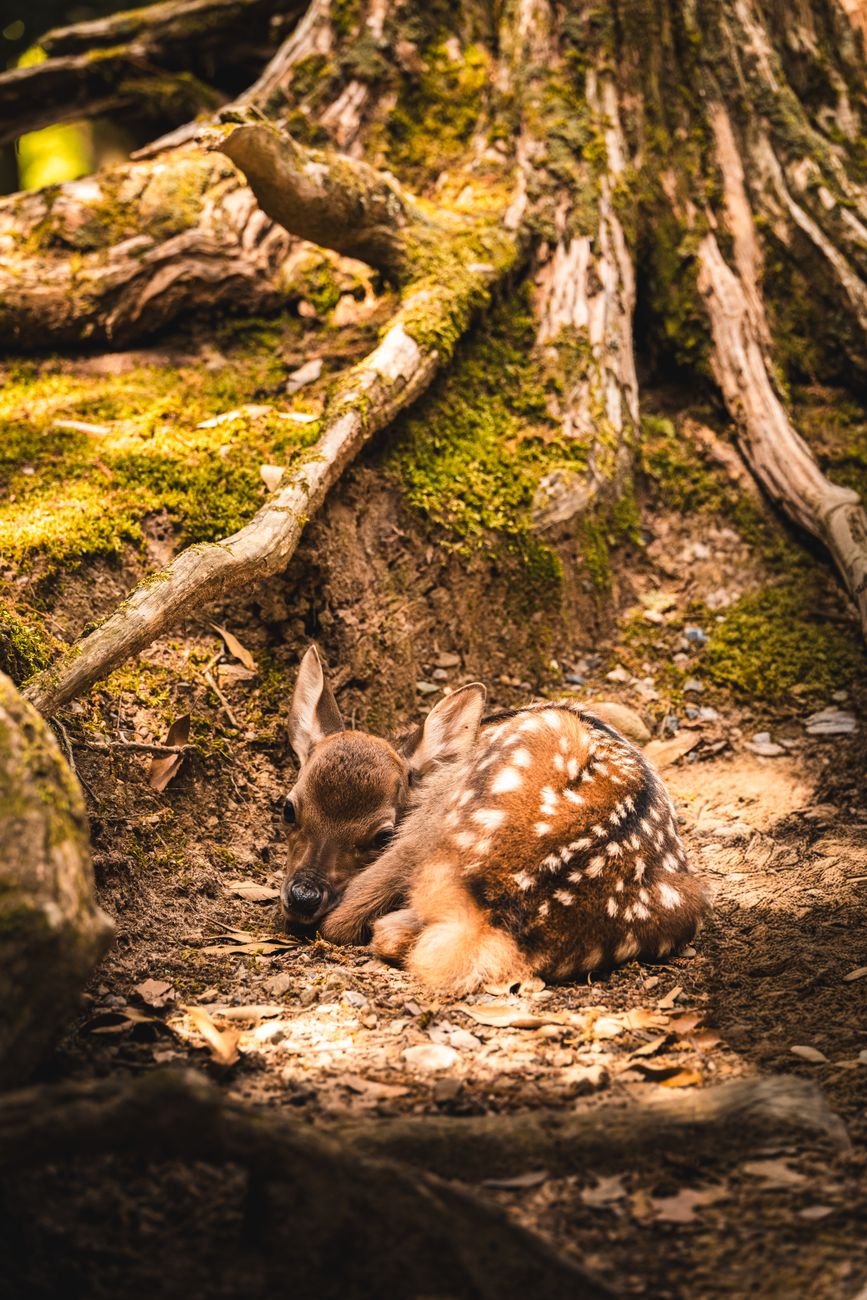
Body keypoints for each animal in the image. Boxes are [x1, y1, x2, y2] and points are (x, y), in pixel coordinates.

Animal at [279, 645, 709, 994]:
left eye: (382, 835)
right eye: (288, 809)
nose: (303, 896)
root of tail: (494, 916)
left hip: (434, 825)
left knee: (356, 922)